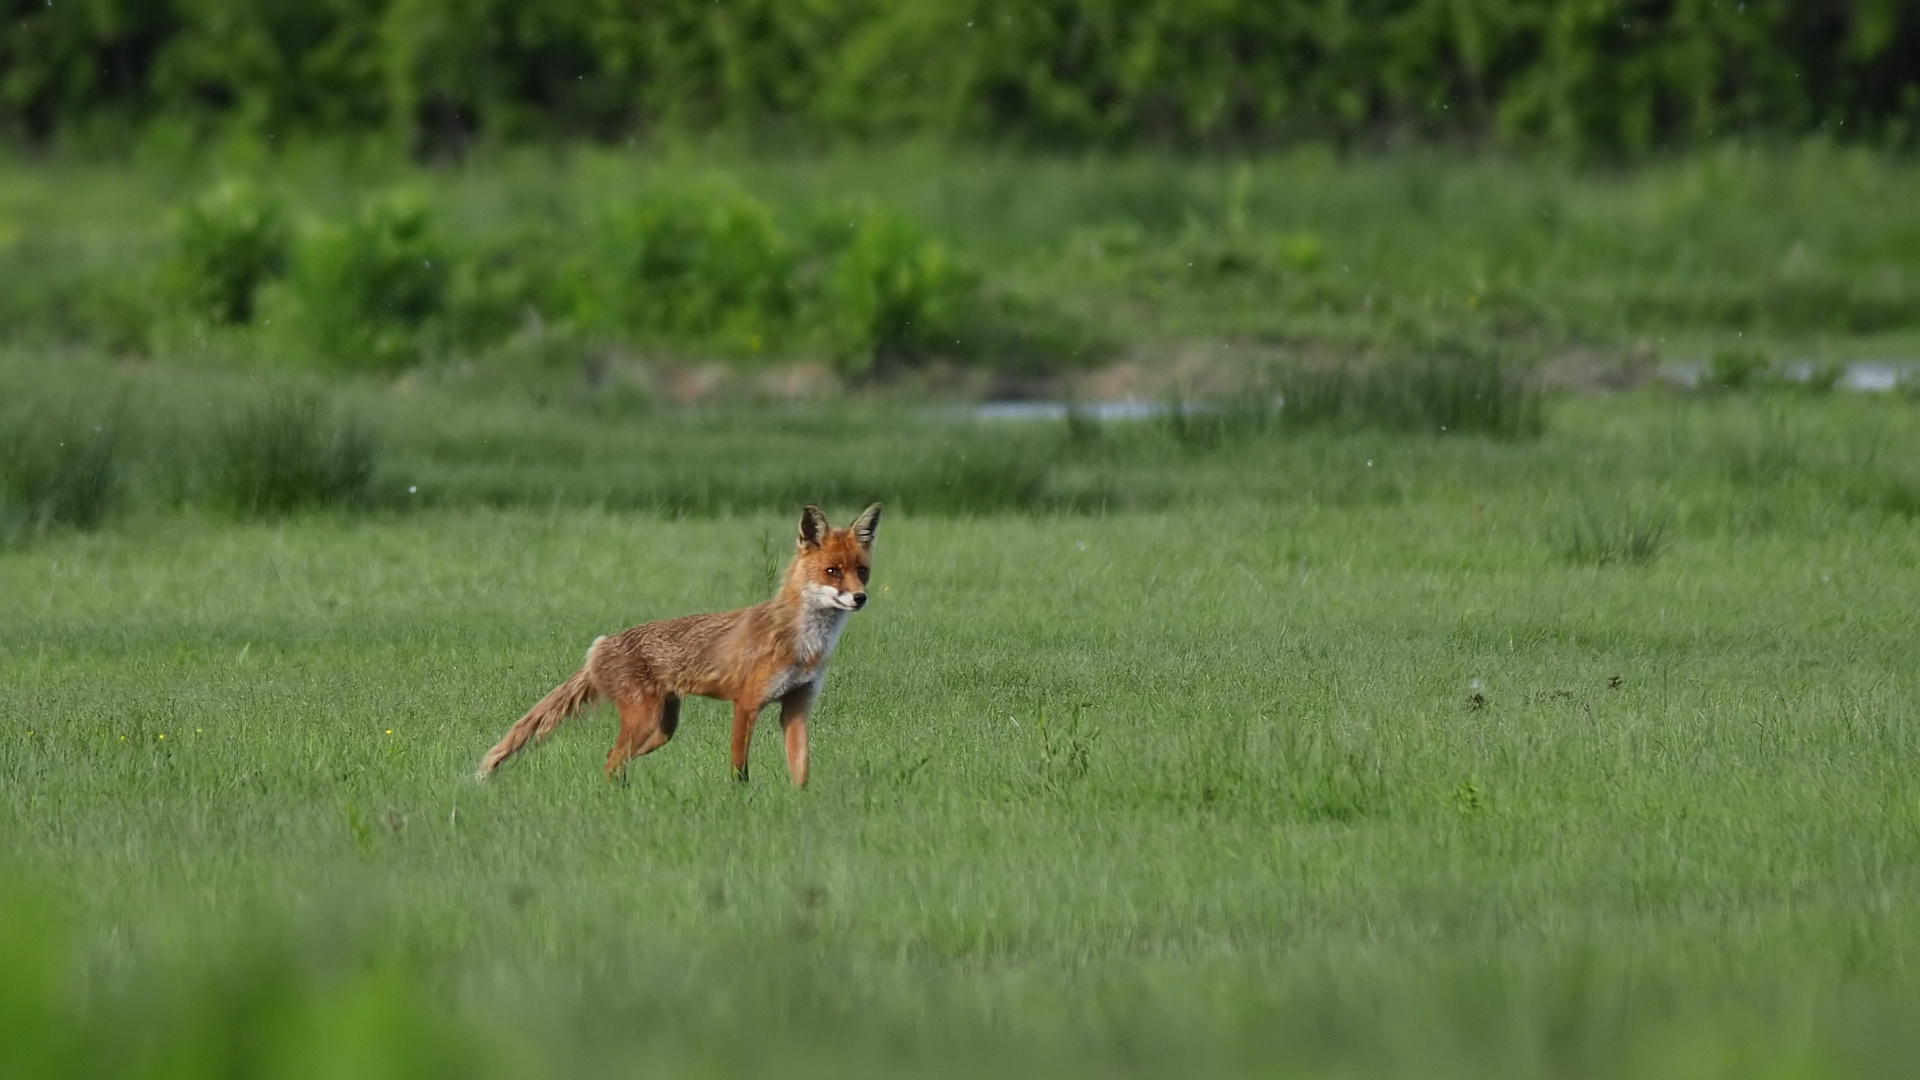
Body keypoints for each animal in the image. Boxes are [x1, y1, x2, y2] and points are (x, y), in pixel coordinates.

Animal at [476, 503, 879, 780]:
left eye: (862, 571)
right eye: (832, 571)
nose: (860, 598)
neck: (805, 644)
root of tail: (599, 646)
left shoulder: (796, 707)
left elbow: (801, 770)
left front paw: (801, 803)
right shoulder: (747, 704)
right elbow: (739, 770)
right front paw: (739, 803)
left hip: (661, 728)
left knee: (618, 762)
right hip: (643, 720)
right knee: (610, 761)